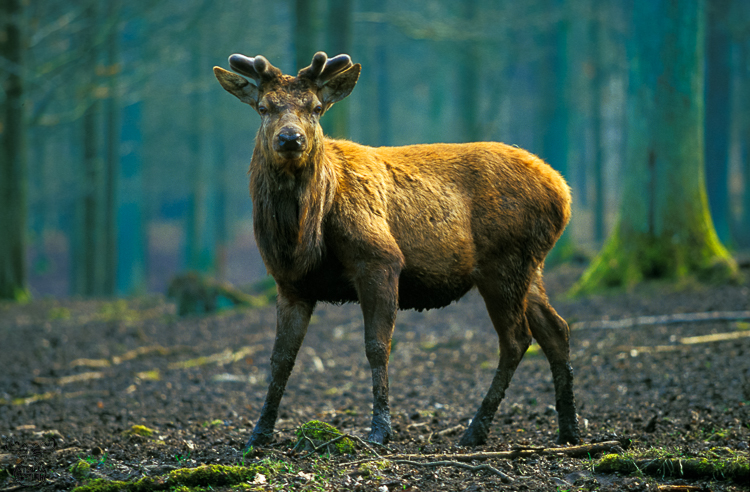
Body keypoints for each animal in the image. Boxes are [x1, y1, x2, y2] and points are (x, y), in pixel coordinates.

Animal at [213, 52, 580, 451]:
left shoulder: (380, 260)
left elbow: (377, 346)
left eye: (316, 107)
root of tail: (563, 191)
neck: (303, 238)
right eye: (264, 107)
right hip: (531, 266)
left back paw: (476, 429)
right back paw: (569, 430)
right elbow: (281, 358)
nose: (290, 138)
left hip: (505, 262)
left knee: (516, 339)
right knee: (556, 330)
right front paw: (258, 434)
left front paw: (380, 429)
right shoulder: (290, 284)